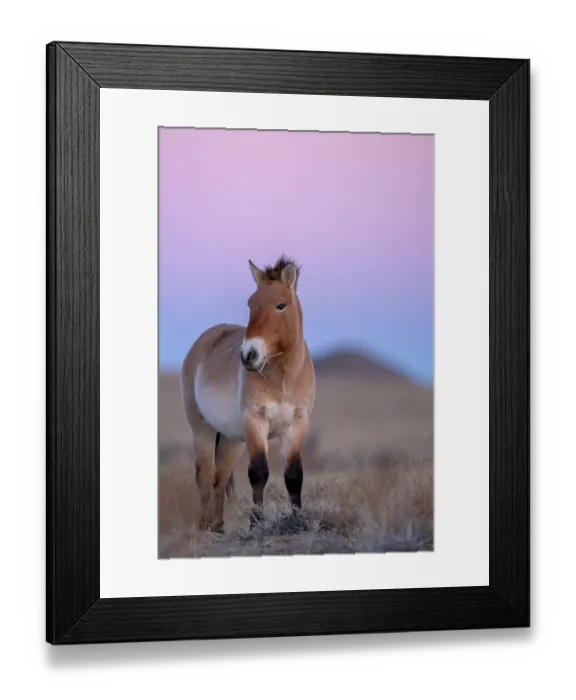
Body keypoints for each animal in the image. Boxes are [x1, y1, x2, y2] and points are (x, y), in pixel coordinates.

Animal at [180, 256, 316, 533]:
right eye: (251, 304)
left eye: (280, 305)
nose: (248, 355)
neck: (282, 378)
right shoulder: (256, 421)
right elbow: (259, 473)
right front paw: (256, 523)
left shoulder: (298, 424)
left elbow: (294, 475)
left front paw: (298, 520)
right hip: (203, 430)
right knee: (205, 475)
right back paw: (204, 527)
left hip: (231, 440)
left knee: (220, 477)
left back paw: (218, 527)